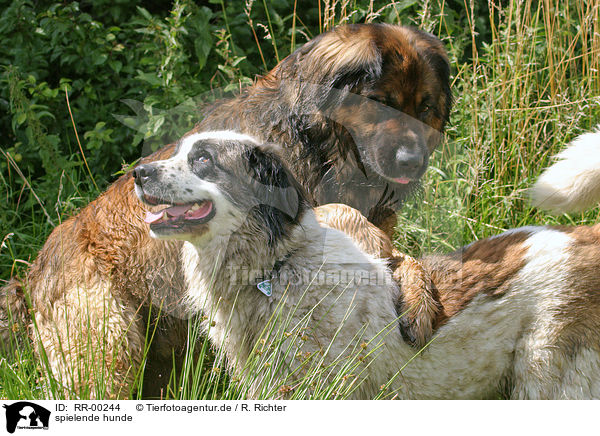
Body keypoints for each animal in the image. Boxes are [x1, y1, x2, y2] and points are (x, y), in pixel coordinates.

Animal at [1, 24, 450, 398]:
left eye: (426, 108)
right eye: (379, 103)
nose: (412, 161)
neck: (320, 145)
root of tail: (29, 277)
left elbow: (397, 259)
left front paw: (417, 301)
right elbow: (346, 219)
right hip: (109, 344)